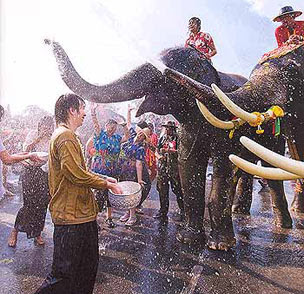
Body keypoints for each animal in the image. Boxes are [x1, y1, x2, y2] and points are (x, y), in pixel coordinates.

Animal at [46, 39, 296, 250]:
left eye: (168, 72)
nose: (47, 40)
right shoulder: (190, 127)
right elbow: (188, 164)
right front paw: (187, 240)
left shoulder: (225, 121)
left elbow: (225, 164)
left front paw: (219, 246)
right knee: (246, 168)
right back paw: (239, 211)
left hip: (274, 134)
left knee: (269, 166)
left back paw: (282, 225)